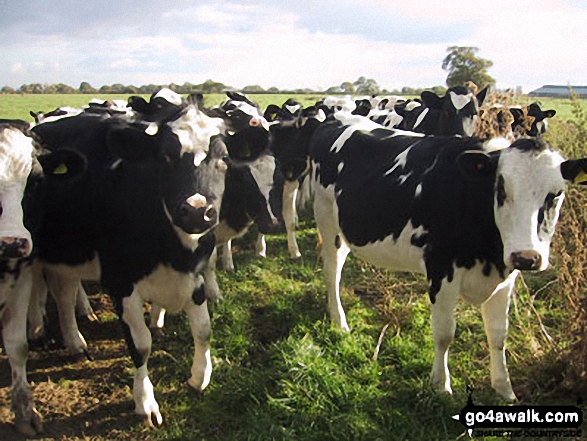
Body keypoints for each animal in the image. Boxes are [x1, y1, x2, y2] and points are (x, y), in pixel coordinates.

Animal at [268, 111, 587, 402]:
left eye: (556, 195)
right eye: (501, 189)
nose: (527, 257)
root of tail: (333, 118)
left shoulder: (505, 276)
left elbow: (498, 335)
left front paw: (504, 388)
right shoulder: (441, 269)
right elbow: (444, 333)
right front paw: (441, 385)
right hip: (327, 220)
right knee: (332, 270)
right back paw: (339, 320)